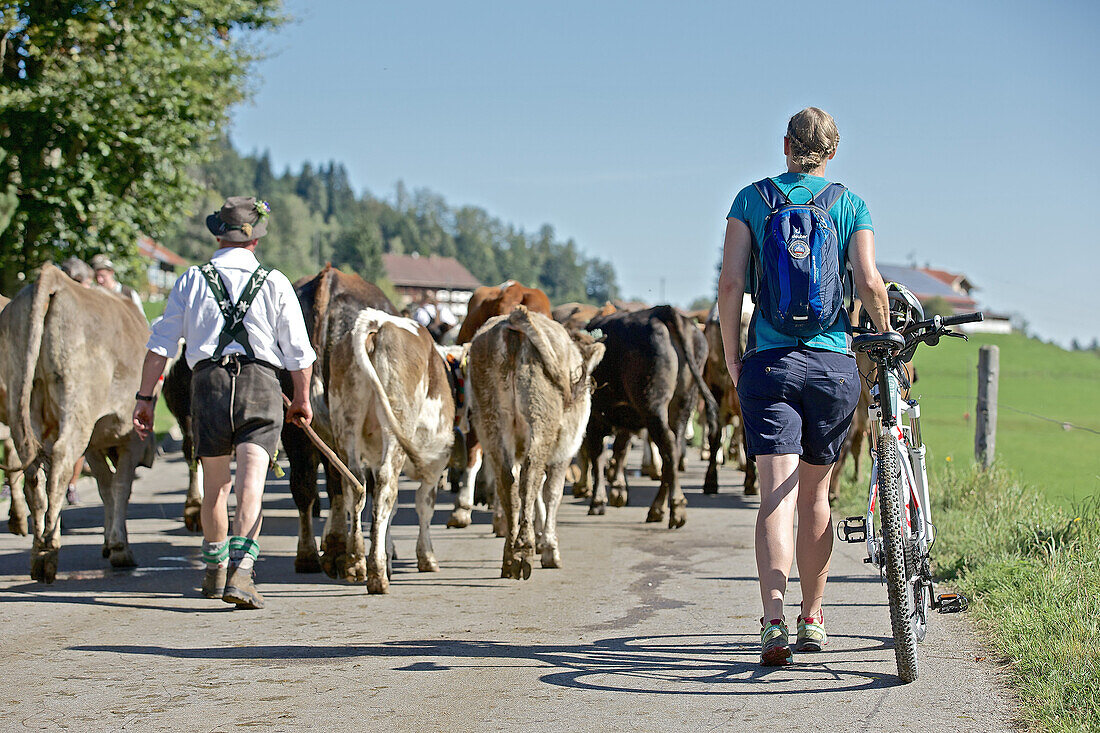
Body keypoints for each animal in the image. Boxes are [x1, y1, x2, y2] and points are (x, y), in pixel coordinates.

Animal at [0, 265, 149, 581]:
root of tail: (54, 278)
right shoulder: (131, 436)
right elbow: (120, 486)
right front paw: (120, 548)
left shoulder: (94, 443)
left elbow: (106, 486)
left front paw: (109, 542)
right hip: (77, 405)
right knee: (59, 463)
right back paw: (48, 553)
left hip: (23, 395)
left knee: (32, 469)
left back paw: (37, 548)